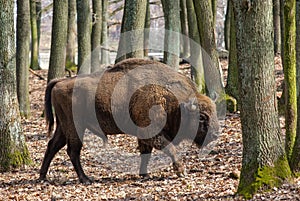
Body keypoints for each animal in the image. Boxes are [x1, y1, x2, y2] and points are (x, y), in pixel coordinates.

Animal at [38, 58, 219, 184]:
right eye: (202, 117)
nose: (215, 135)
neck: (174, 102)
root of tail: (61, 81)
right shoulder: (151, 133)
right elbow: (170, 148)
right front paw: (181, 171)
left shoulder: (144, 135)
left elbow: (145, 153)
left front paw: (144, 174)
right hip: (75, 127)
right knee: (72, 150)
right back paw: (85, 179)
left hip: (63, 126)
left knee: (53, 145)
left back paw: (42, 177)